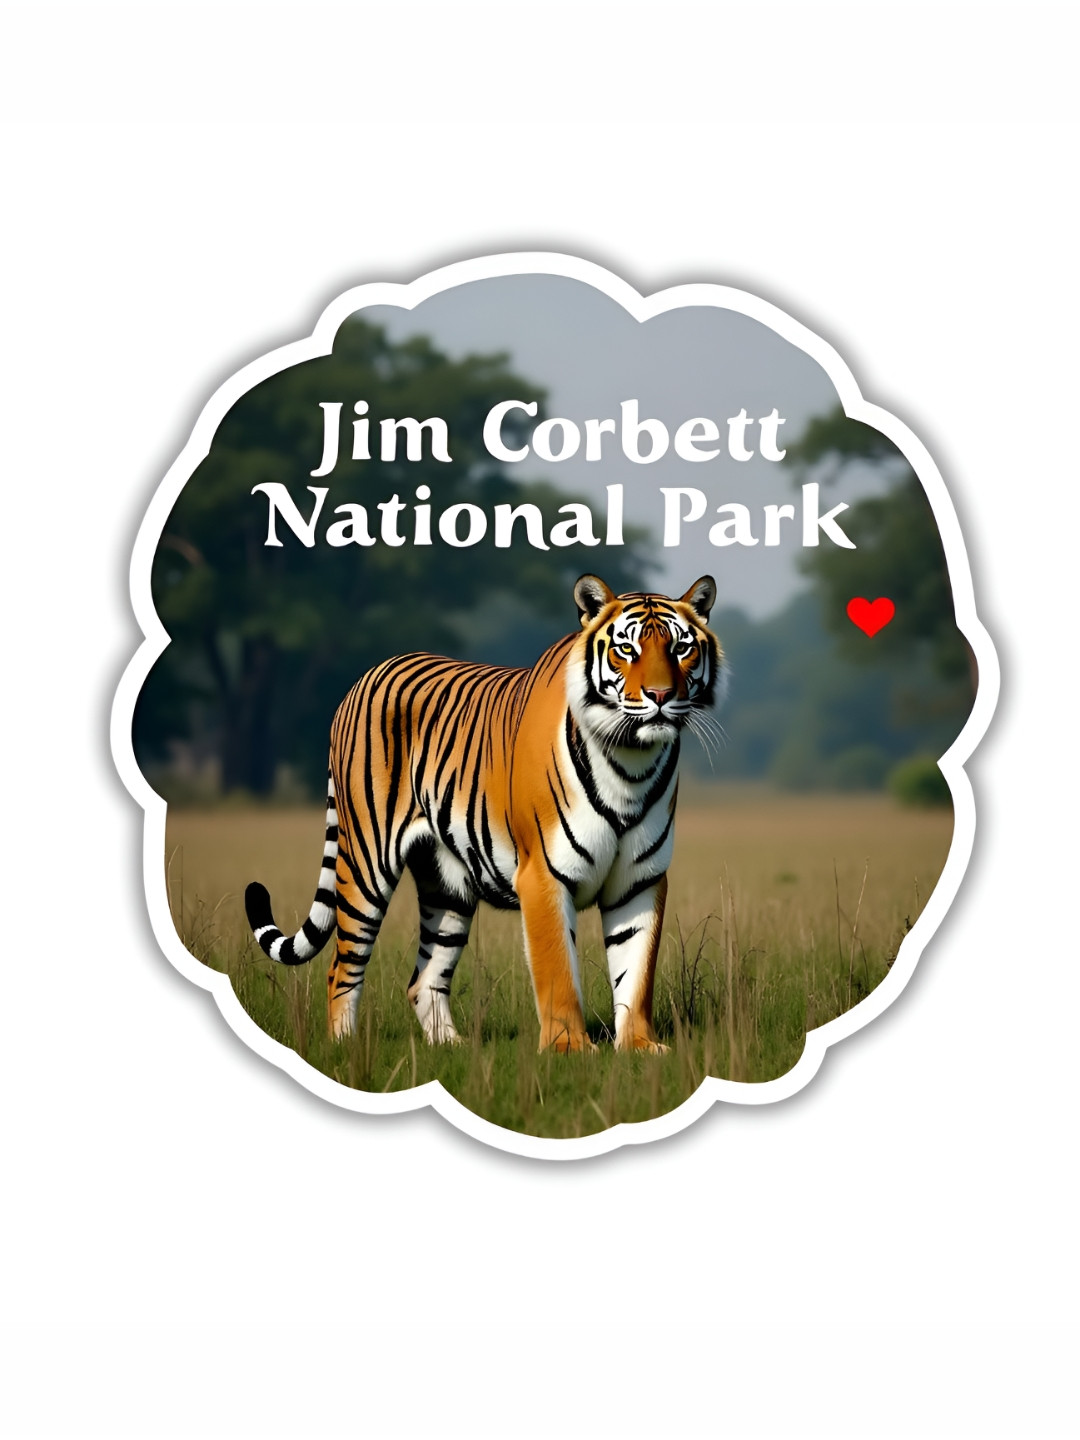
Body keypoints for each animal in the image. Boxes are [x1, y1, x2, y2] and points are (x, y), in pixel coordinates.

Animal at [244, 574, 723, 1053]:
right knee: (342, 967)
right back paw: (345, 1046)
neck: (630, 762)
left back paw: (451, 1047)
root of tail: (365, 677)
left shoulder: (640, 881)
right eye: (626, 649)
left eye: (681, 648)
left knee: (424, 978)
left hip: (447, 886)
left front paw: (641, 1048)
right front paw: (569, 1048)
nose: (660, 696)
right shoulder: (544, 875)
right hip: (367, 862)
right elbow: (558, 971)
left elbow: (635, 972)